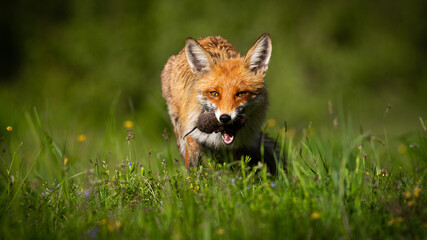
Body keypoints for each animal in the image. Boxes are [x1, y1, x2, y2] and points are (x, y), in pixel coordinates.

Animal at [162, 33, 280, 172]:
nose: (225, 118)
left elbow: (239, 168)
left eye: (241, 94)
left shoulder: (241, 144)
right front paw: (196, 176)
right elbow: (193, 163)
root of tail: (208, 37)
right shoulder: (191, 132)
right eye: (214, 93)